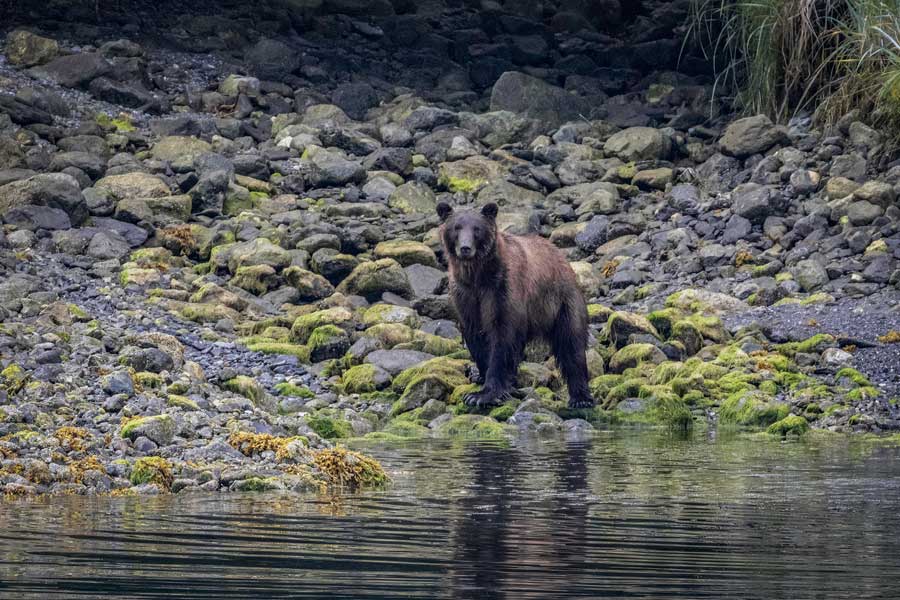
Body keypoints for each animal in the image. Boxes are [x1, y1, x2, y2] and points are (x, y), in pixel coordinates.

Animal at [438, 202, 596, 408]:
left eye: (476, 229)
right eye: (456, 227)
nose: (465, 248)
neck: (478, 276)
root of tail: (563, 260)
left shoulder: (502, 289)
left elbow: (502, 336)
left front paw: (482, 395)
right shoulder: (466, 296)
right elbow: (475, 335)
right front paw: (481, 377)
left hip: (561, 302)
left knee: (571, 343)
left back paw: (581, 398)